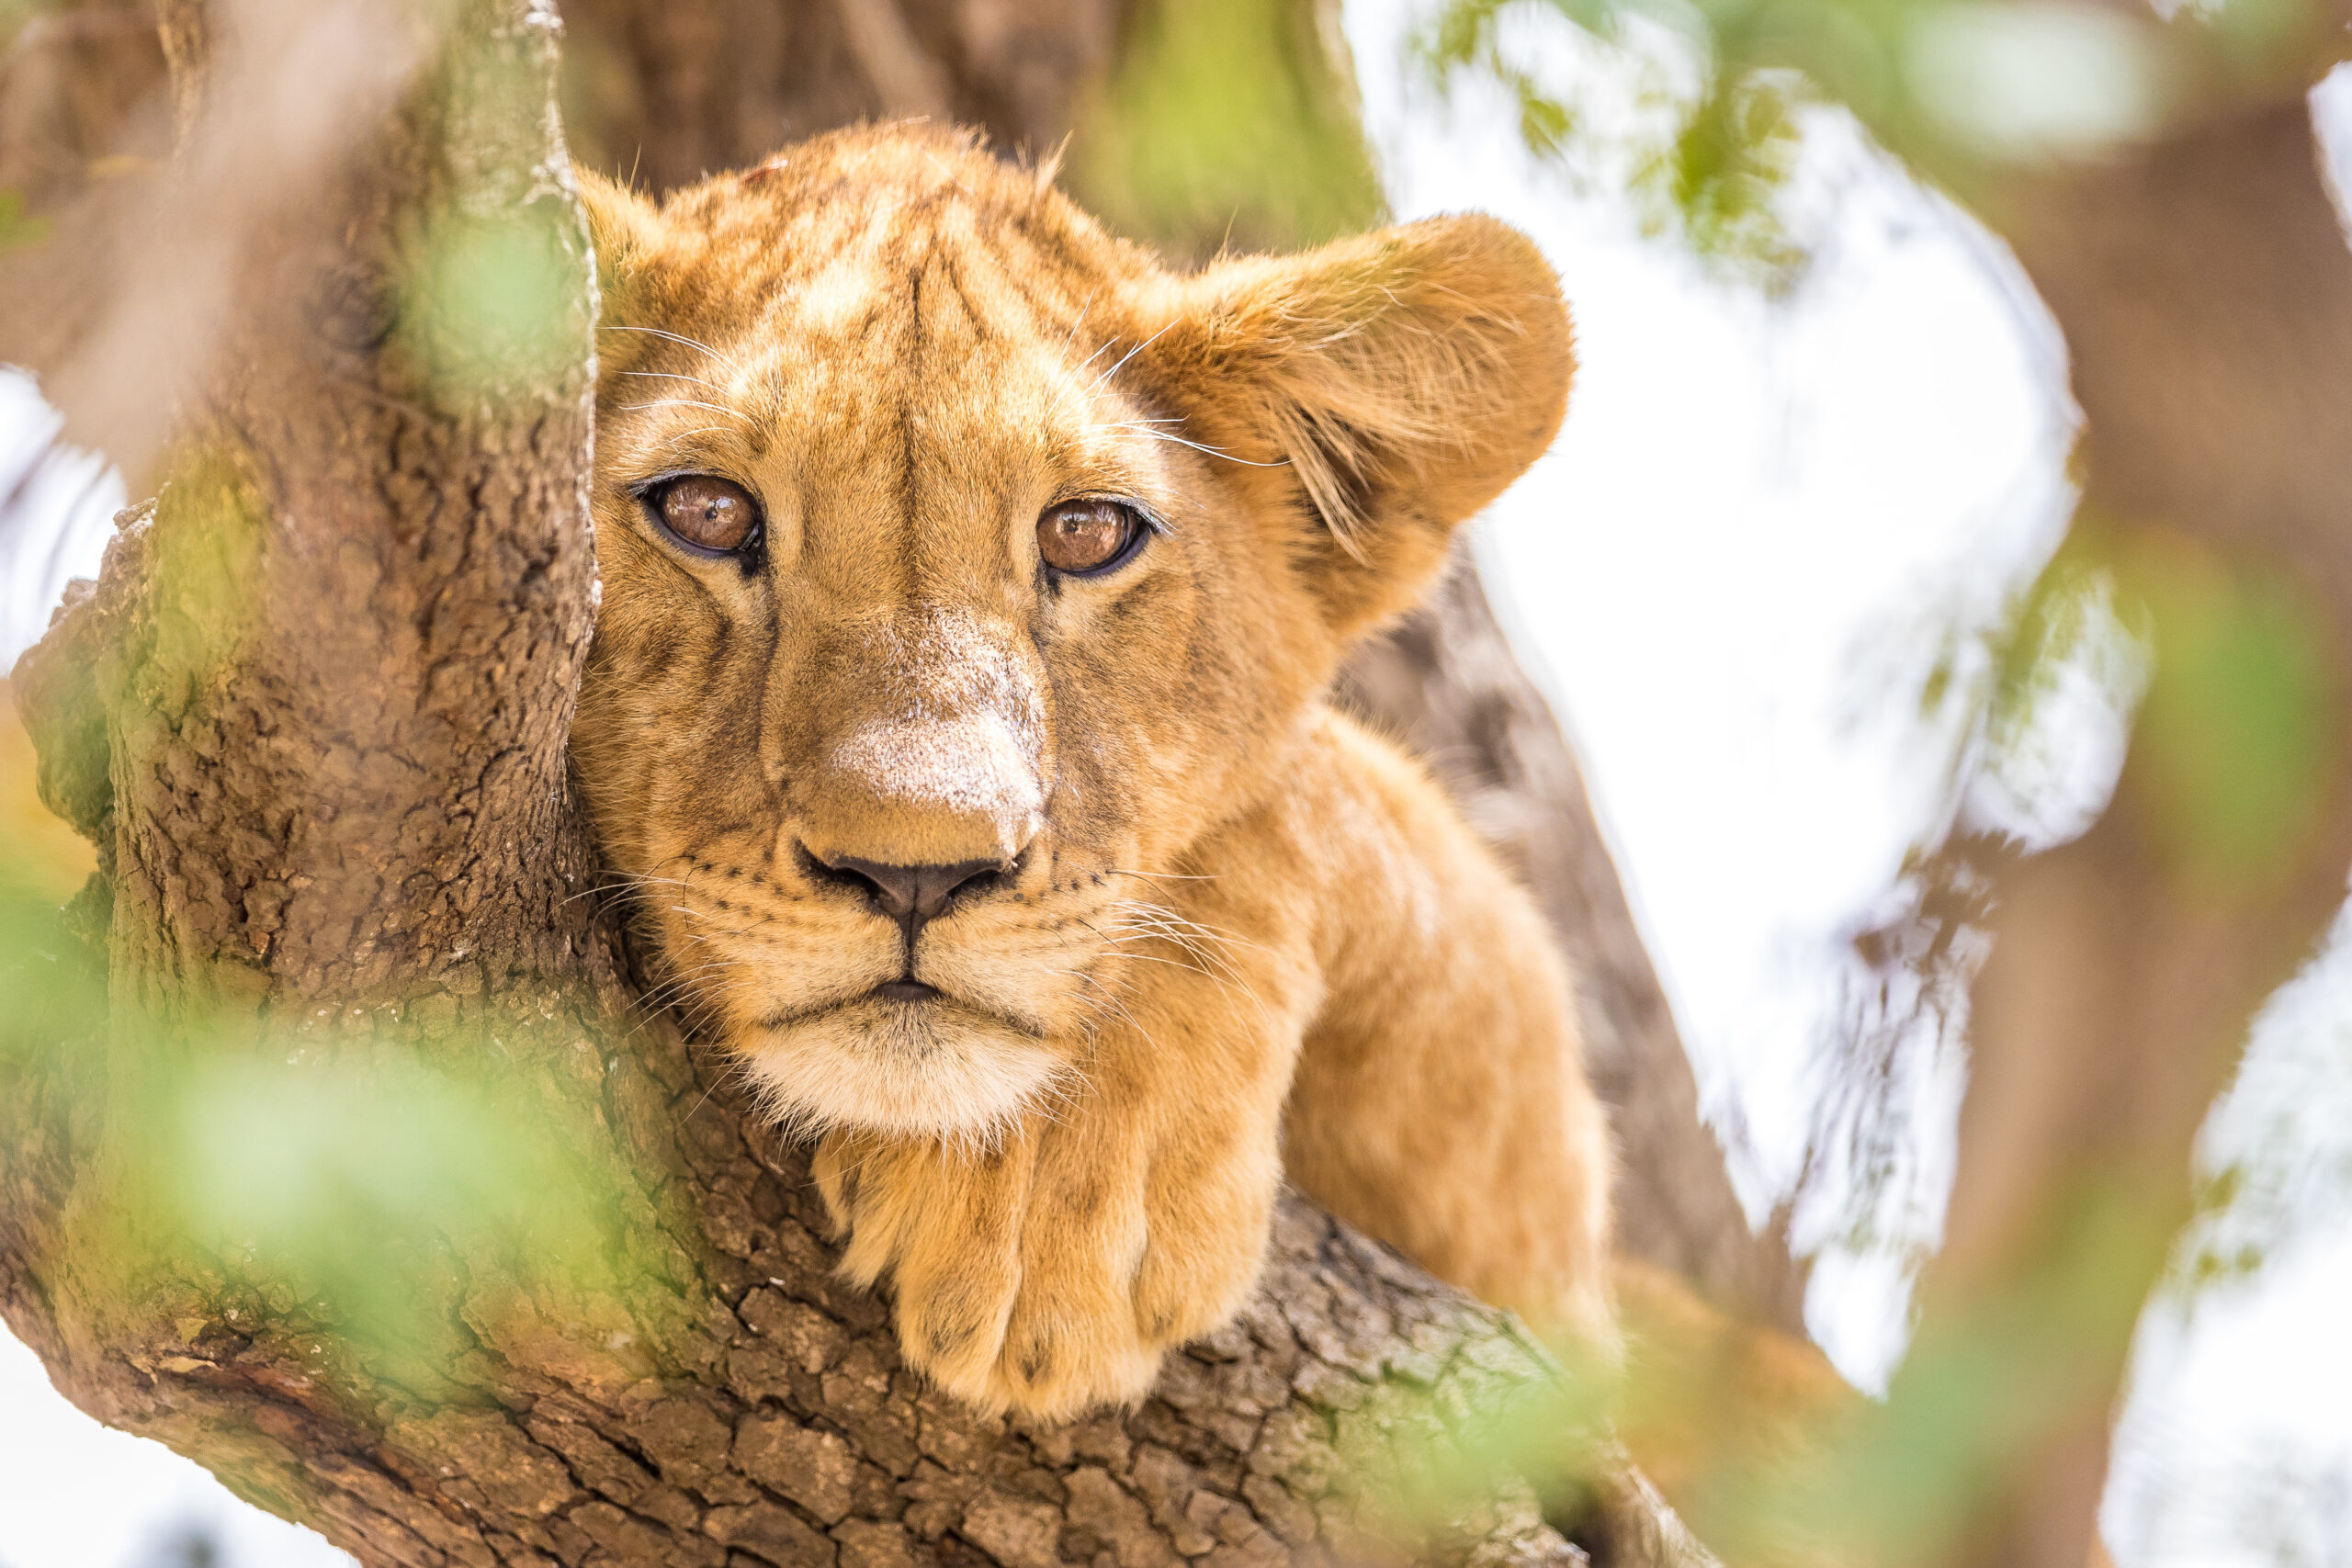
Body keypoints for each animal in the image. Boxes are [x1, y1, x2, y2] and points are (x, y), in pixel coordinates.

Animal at [571, 122, 1612, 1420]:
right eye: (705, 513)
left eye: (1086, 535)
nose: (915, 876)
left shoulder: (1553, 1247)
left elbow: (1311, 796)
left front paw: (1045, 1205)